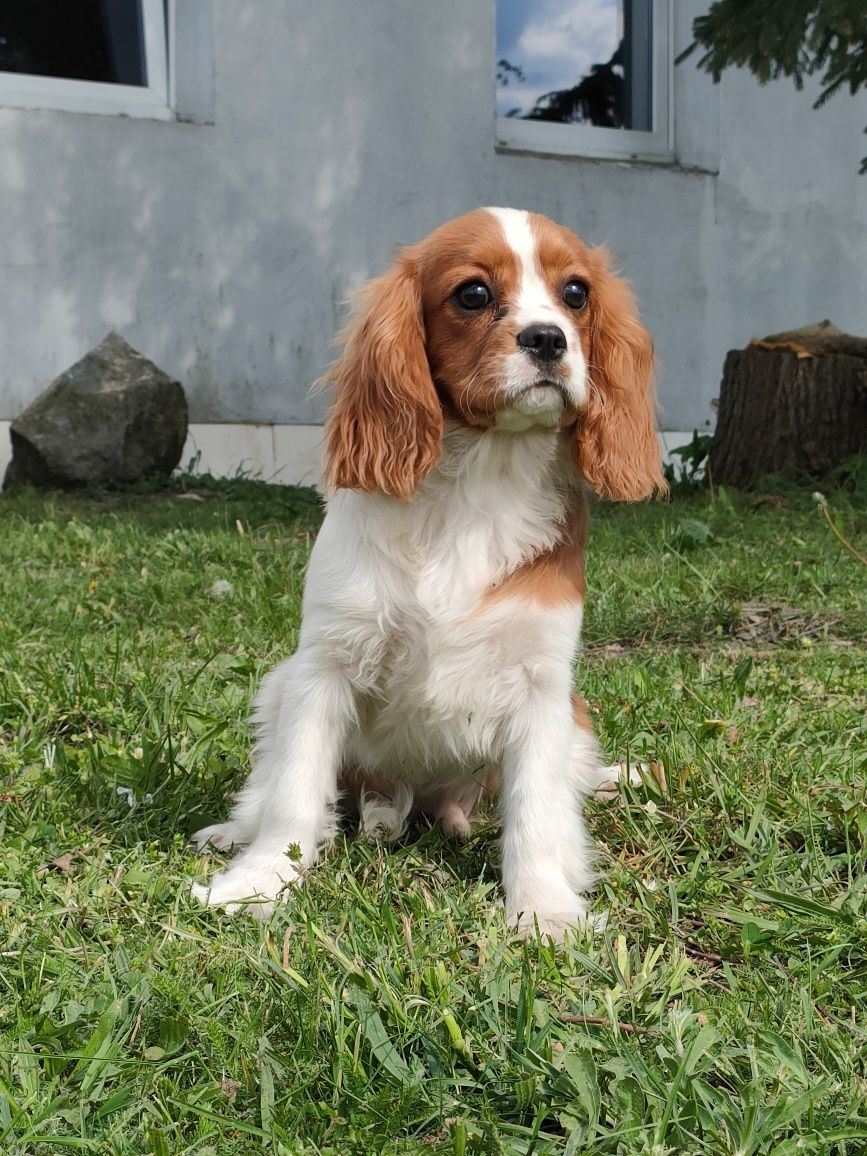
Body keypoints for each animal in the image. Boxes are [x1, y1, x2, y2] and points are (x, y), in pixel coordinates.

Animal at [191, 203, 665, 934]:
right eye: (472, 294)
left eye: (576, 293)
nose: (548, 338)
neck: (481, 477)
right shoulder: (322, 667)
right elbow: (294, 793)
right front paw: (260, 882)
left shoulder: (542, 686)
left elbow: (537, 810)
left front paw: (543, 911)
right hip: (279, 686)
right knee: (273, 783)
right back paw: (236, 832)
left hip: (574, 719)